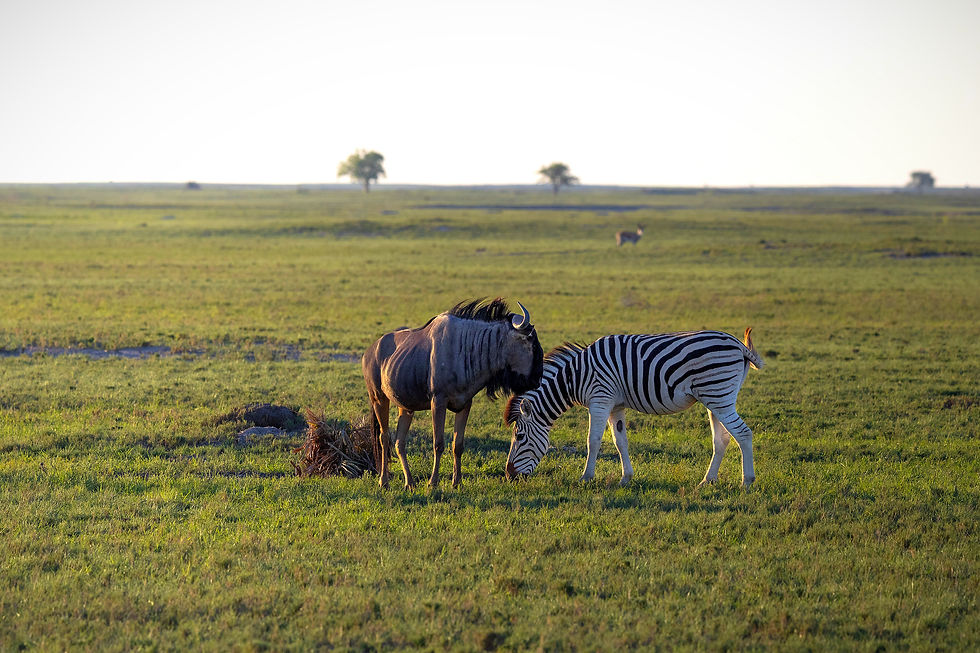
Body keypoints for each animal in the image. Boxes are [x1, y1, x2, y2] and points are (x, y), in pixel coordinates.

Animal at [504, 329, 764, 488]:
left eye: (519, 436)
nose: (509, 475)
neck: (575, 377)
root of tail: (738, 345)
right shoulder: (615, 405)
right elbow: (620, 441)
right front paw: (626, 478)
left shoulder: (600, 399)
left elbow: (593, 440)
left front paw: (586, 477)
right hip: (715, 399)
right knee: (722, 439)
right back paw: (707, 481)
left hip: (719, 395)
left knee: (743, 434)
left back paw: (747, 481)